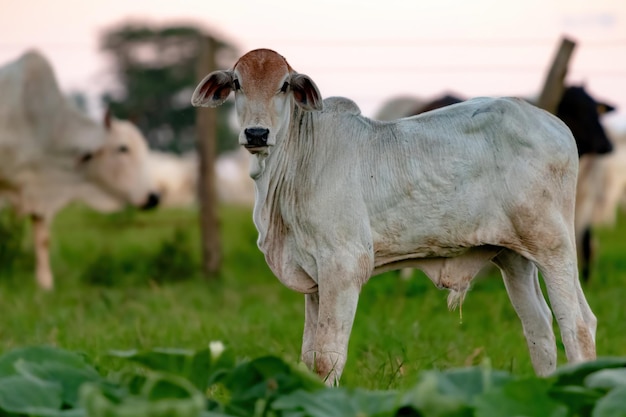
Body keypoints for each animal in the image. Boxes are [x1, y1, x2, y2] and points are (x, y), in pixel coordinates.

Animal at [190, 48, 596, 384]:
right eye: (237, 83)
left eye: (285, 85)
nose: (257, 133)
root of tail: (557, 125)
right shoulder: (316, 278)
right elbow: (309, 357)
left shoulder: (344, 266)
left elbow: (327, 359)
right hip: (514, 256)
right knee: (540, 330)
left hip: (553, 247)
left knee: (577, 325)